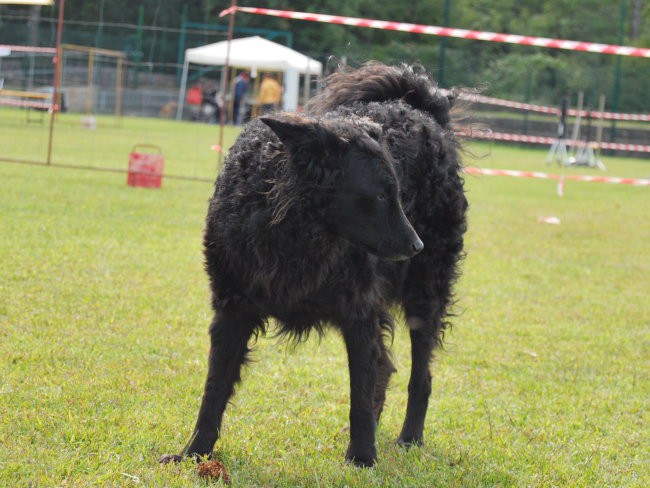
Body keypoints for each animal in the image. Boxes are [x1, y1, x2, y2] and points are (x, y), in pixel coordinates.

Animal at [160, 63, 468, 468]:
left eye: (398, 193)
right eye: (380, 195)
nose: (417, 246)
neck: (294, 230)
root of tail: (421, 108)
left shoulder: (359, 312)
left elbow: (359, 394)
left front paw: (363, 459)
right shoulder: (232, 311)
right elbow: (213, 392)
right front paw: (195, 453)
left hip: (425, 295)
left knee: (420, 377)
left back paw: (409, 437)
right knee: (386, 367)